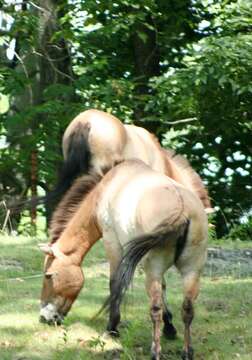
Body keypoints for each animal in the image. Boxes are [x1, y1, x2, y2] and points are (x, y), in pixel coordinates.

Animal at [39, 160, 209, 360]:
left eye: (48, 275)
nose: (44, 317)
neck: (105, 189)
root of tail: (182, 210)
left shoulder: (112, 242)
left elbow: (114, 283)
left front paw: (112, 328)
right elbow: (165, 288)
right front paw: (170, 328)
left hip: (154, 268)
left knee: (155, 308)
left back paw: (155, 351)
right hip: (192, 270)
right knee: (188, 308)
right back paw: (187, 352)